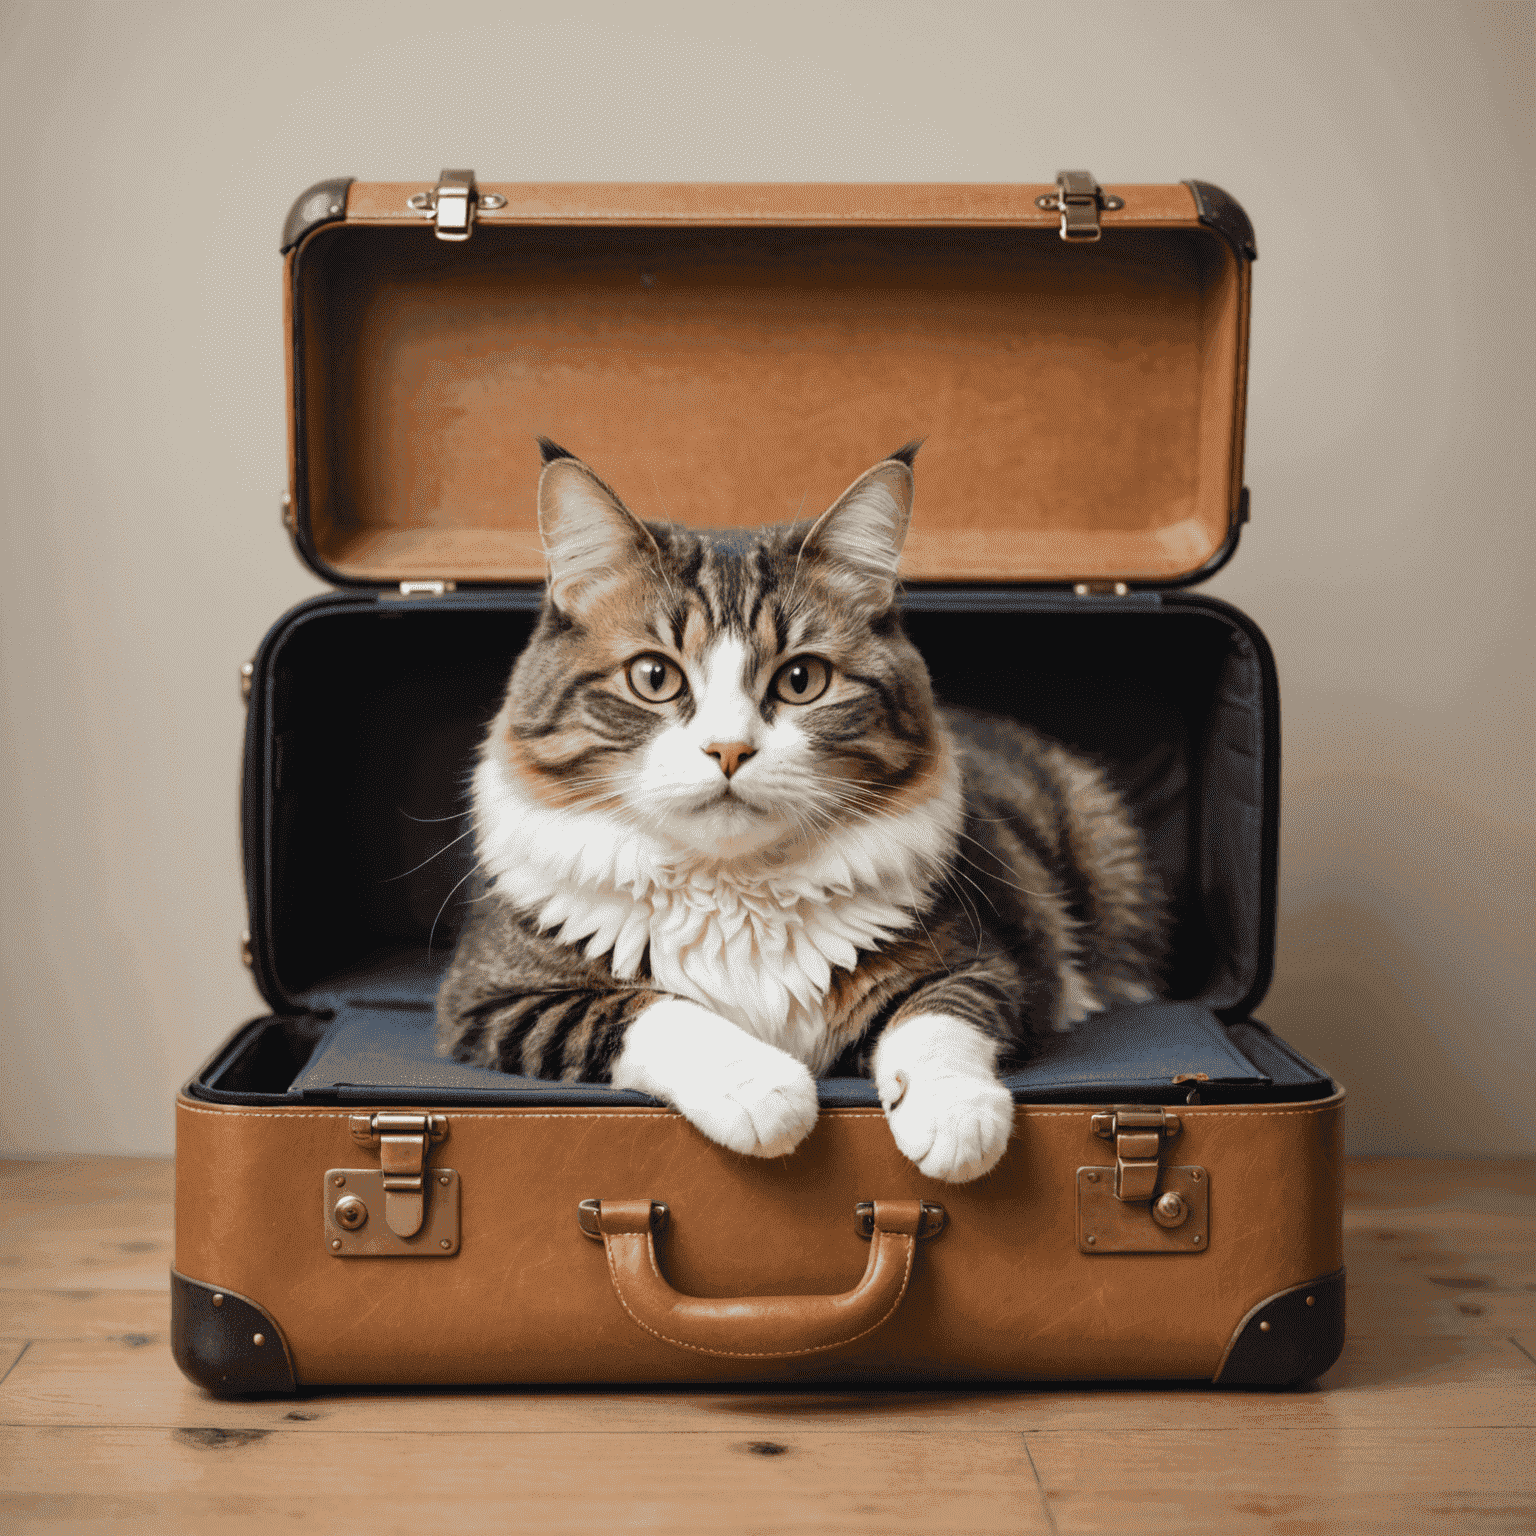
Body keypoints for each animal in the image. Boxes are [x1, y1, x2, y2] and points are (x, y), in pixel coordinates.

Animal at [436, 439, 1161, 1179]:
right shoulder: (494, 999)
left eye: (801, 680)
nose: (729, 750)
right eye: (654, 677)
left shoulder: (979, 962)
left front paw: (955, 1117)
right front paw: (762, 1089)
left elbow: (938, 1022)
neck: (732, 888)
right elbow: (656, 1012)